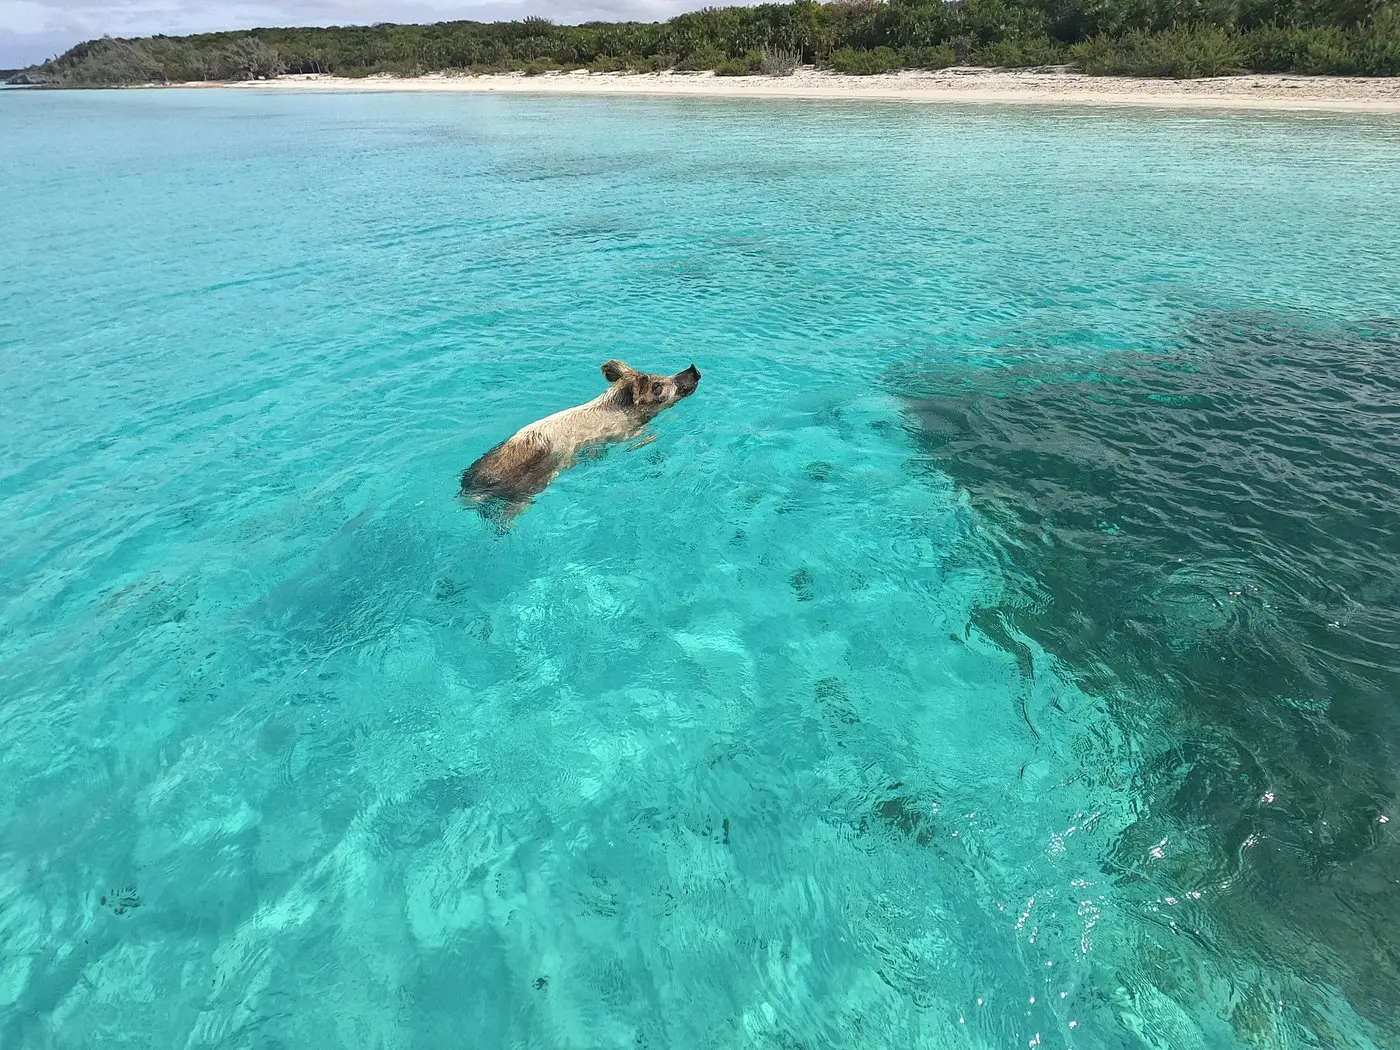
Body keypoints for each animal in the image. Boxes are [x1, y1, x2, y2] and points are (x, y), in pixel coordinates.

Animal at [459, 361, 700, 526]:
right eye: (657, 386)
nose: (694, 369)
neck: (619, 407)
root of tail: (471, 486)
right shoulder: (623, 434)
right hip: (526, 490)